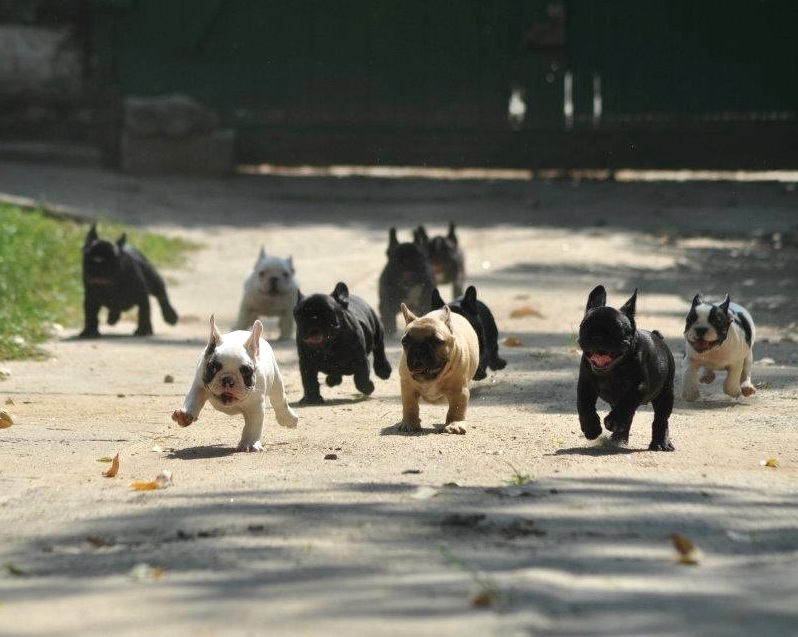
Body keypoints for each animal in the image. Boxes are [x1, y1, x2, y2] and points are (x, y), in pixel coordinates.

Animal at [173, 316, 300, 450]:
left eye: (246, 371)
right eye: (213, 367)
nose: (228, 379)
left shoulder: (256, 406)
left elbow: (253, 425)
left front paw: (250, 444)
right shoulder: (200, 385)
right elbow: (193, 399)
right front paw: (185, 415)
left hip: (276, 380)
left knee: (279, 400)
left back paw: (288, 418)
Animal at [396, 302, 478, 432]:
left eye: (437, 341)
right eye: (405, 341)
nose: (418, 350)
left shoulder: (459, 391)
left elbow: (457, 408)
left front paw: (455, 424)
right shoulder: (408, 389)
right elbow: (410, 405)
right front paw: (410, 423)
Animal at [580, 284, 680, 452]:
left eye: (617, 330)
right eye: (585, 328)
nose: (598, 336)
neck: (612, 371)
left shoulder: (639, 386)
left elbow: (627, 402)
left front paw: (613, 420)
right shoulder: (585, 385)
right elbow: (584, 406)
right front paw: (591, 428)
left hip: (666, 394)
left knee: (660, 419)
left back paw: (660, 443)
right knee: (629, 415)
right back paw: (619, 437)